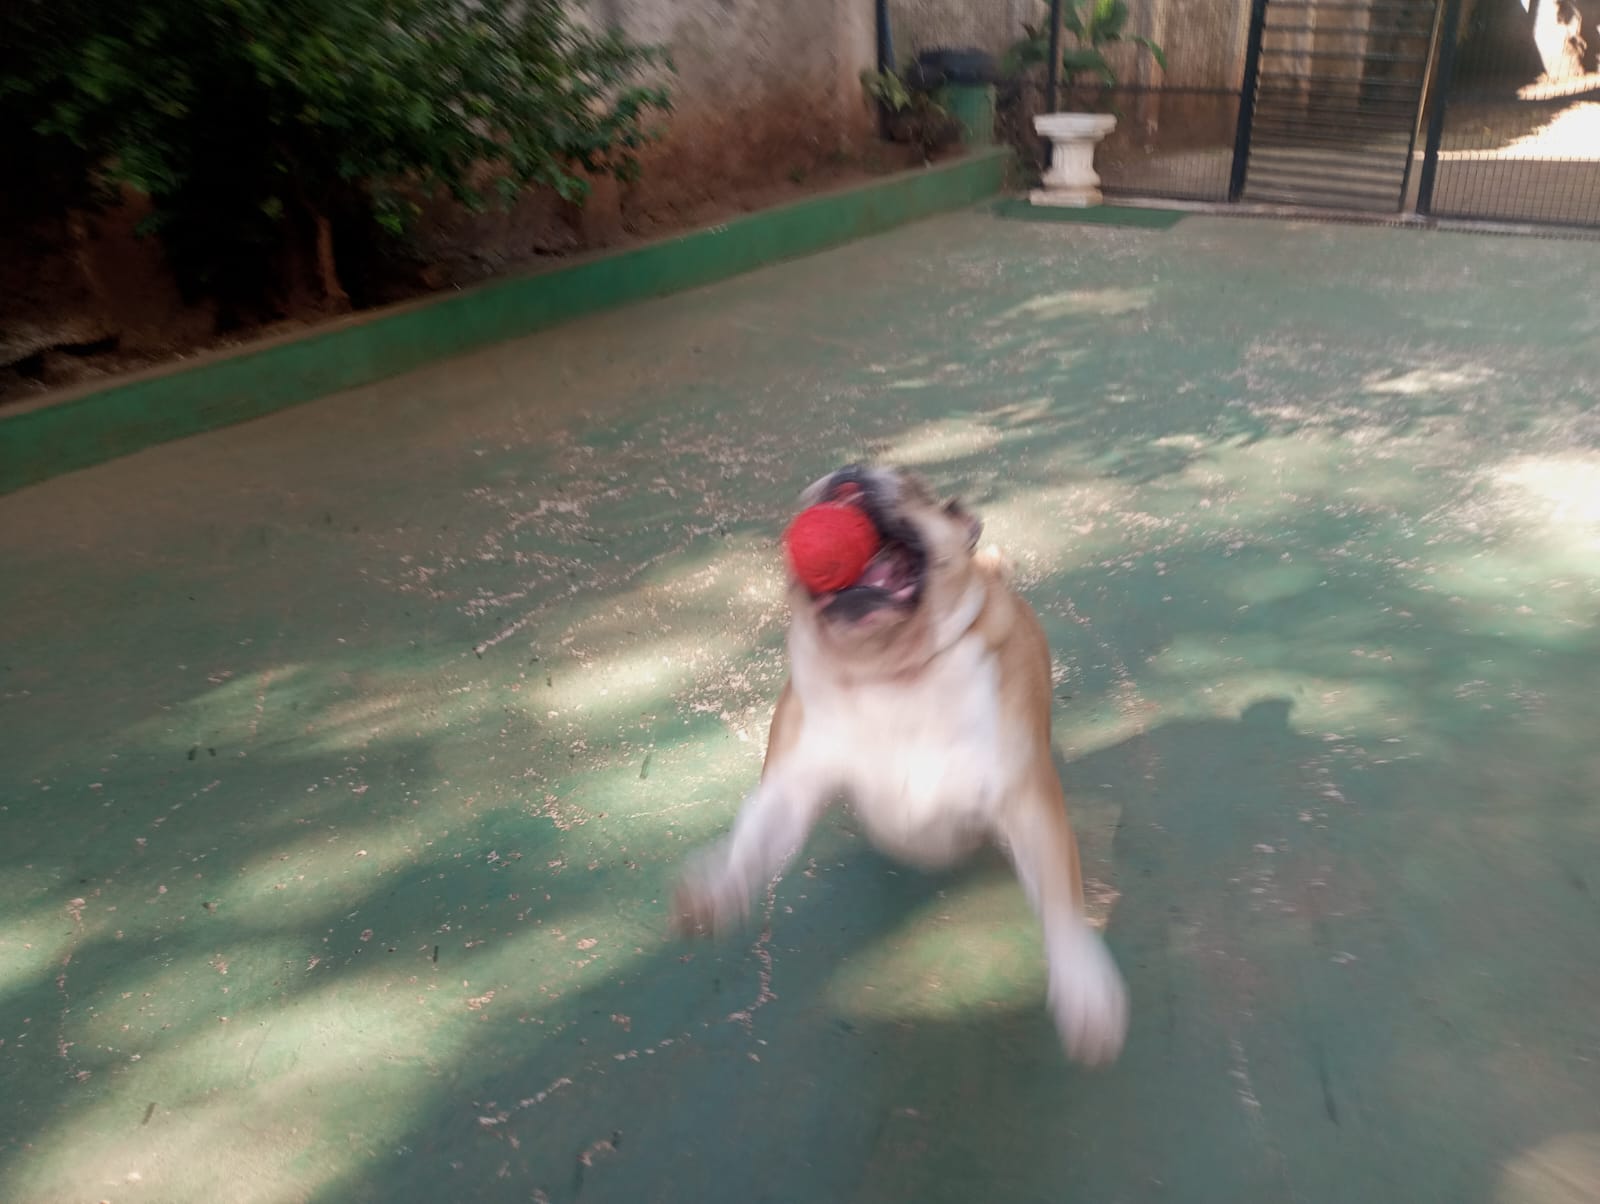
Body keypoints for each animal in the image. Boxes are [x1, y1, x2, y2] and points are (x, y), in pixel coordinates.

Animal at [673, 464, 1128, 1065]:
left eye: (910, 484)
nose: (847, 475)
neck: (888, 670)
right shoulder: (791, 787)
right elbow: (751, 842)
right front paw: (717, 887)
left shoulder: (1026, 802)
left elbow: (1060, 902)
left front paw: (1084, 986)